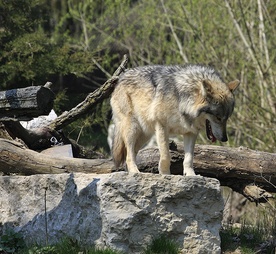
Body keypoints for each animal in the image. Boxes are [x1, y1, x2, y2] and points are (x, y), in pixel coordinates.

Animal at [110, 64, 239, 176]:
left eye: (227, 118)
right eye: (218, 117)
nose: (224, 138)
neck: (182, 100)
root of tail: (120, 78)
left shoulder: (191, 132)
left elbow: (189, 158)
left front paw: (191, 175)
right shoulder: (161, 126)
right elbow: (166, 155)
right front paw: (165, 174)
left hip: (145, 134)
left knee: (130, 153)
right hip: (133, 128)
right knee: (129, 154)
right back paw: (135, 172)